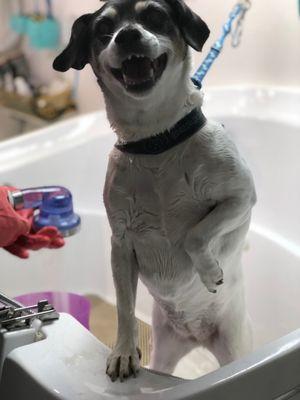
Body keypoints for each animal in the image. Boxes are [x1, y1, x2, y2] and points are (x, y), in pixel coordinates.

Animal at [53, 0, 255, 382]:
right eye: (104, 29)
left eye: (155, 16)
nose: (128, 34)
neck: (156, 141)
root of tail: (196, 337)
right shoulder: (121, 245)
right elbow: (125, 307)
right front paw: (122, 351)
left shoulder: (241, 198)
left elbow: (195, 234)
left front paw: (209, 271)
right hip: (165, 351)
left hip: (234, 349)